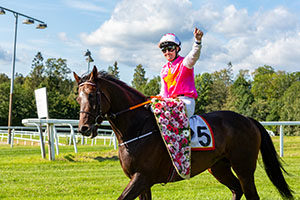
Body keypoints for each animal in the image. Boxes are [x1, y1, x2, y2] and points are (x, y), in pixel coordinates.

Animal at [73, 66, 292, 199]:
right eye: (78, 98)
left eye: (91, 95)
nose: (83, 128)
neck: (137, 128)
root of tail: (248, 120)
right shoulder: (142, 182)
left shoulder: (142, 177)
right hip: (219, 167)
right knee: (236, 189)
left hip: (244, 167)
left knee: (250, 193)